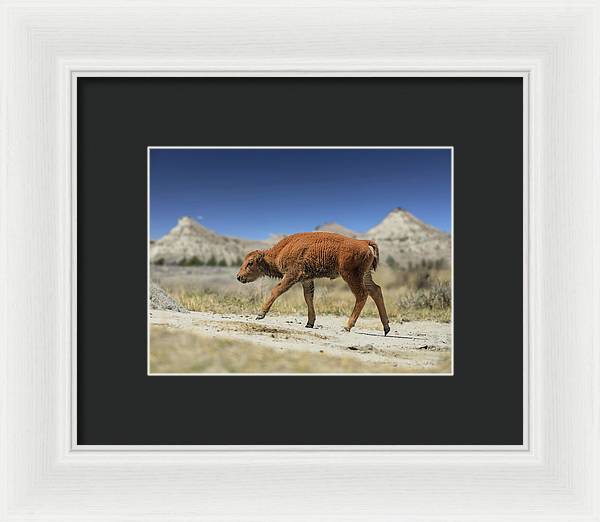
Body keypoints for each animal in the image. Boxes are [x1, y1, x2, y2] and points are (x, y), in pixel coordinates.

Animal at [237, 231, 392, 334]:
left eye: (250, 263)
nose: (239, 277)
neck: (280, 251)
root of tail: (363, 242)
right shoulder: (306, 280)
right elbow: (308, 298)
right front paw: (309, 323)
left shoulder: (292, 275)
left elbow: (277, 290)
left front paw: (260, 314)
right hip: (365, 276)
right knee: (376, 291)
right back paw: (386, 328)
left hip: (351, 276)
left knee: (362, 294)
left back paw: (347, 326)